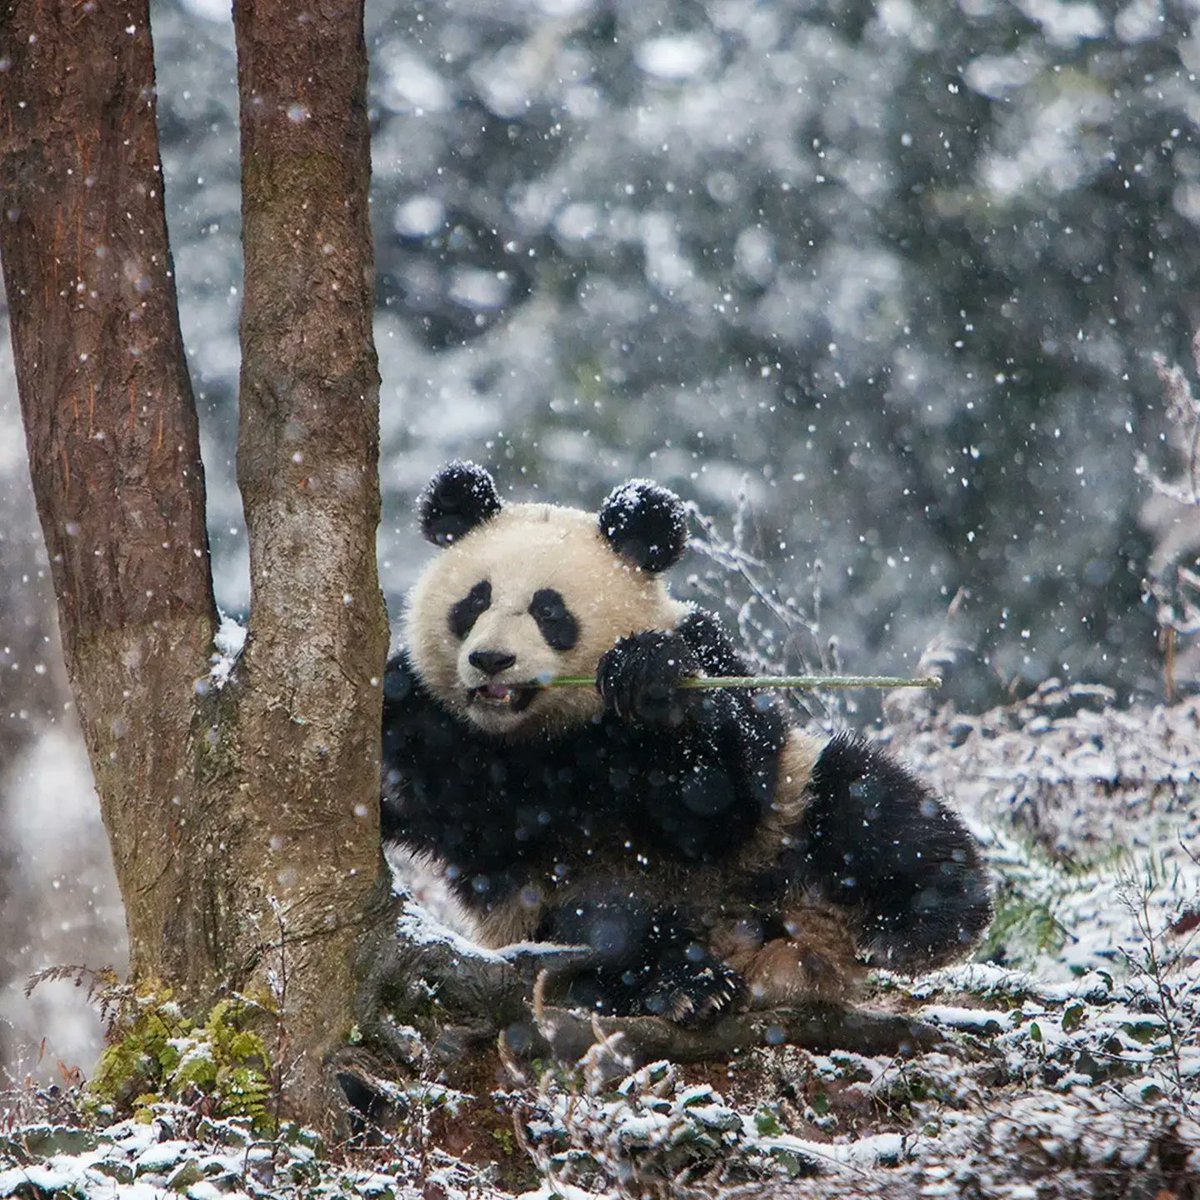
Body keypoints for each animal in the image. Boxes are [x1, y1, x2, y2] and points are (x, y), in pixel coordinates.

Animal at [381, 461, 992, 1026]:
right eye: (473, 602)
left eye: (549, 611)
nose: (491, 659)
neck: (543, 737)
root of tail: (778, 953)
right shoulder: (437, 727)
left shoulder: (705, 651)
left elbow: (718, 796)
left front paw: (646, 679)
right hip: (555, 910)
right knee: (606, 939)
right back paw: (687, 984)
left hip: (788, 819)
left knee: (872, 806)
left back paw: (918, 926)